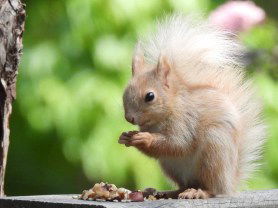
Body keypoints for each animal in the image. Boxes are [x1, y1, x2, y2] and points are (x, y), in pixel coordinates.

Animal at [117, 13, 264, 199]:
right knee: (184, 185)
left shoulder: (186, 121)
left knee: (212, 189)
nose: (129, 118)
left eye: (150, 96)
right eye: (125, 92)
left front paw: (145, 138)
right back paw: (172, 192)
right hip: (171, 166)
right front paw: (125, 137)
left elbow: (179, 143)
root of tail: (229, 183)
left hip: (214, 152)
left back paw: (199, 192)